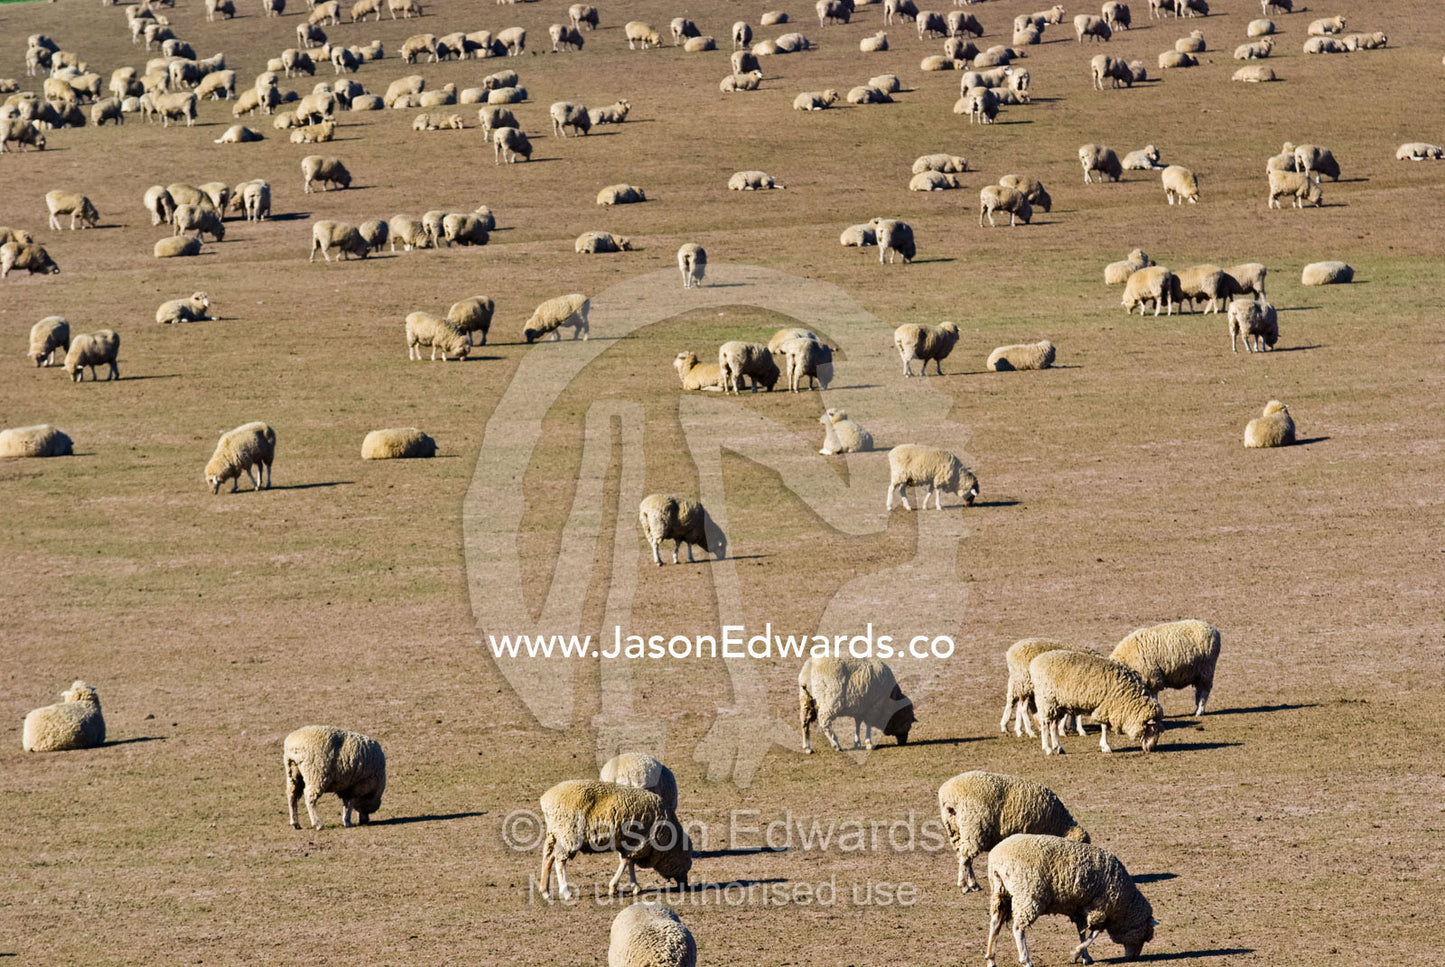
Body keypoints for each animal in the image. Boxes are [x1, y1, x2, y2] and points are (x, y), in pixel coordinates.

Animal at [539, 780, 691, 900]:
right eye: (688, 862)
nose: (686, 886)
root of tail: (545, 799)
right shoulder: (640, 842)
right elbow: (626, 862)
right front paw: (615, 887)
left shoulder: (630, 842)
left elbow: (629, 862)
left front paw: (634, 886)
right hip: (568, 834)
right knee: (560, 860)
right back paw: (566, 892)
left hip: (555, 832)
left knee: (548, 856)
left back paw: (545, 891)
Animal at [940, 773, 1089, 894]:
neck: (1059, 824)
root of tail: (948, 793)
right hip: (973, 828)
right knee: (965, 857)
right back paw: (964, 886)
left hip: (956, 830)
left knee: (964, 858)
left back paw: (972, 884)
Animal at [985, 834, 1156, 967]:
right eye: (1145, 937)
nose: (1133, 958)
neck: (1124, 906)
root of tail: (996, 857)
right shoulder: (1100, 908)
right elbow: (1094, 934)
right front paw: (1076, 953)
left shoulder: (1080, 908)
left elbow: (1083, 932)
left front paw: (1085, 956)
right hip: (1028, 895)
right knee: (1018, 928)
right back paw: (1026, 959)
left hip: (1000, 892)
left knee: (995, 923)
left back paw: (990, 958)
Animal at [1030, 650, 1163, 754]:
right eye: (1153, 729)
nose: (1151, 749)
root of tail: (1035, 662)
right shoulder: (1106, 705)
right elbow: (1104, 727)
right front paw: (1106, 746)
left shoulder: (1106, 706)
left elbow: (1104, 726)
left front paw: (1104, 745)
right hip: (1046, 701)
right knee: (1045, 725)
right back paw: (1048, 748)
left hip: (1057, 704)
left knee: (1053, 726)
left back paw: (1058, 748)